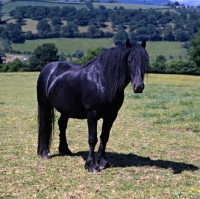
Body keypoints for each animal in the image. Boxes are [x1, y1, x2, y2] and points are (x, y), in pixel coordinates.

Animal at [36, 38, 148, 173]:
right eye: (129, 60)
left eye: (145, 62)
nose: (138, 86)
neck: (102, 81)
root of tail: (47, 69)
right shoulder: (92, 114)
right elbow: (92, 138)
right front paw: (91, 165)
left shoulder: (111, 116)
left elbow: (104, 137)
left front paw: (102, 161)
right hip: (45, 106)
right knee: (45, 125)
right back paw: (45, 153)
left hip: (66, 109)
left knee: (62, 125)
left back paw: (65, 150)